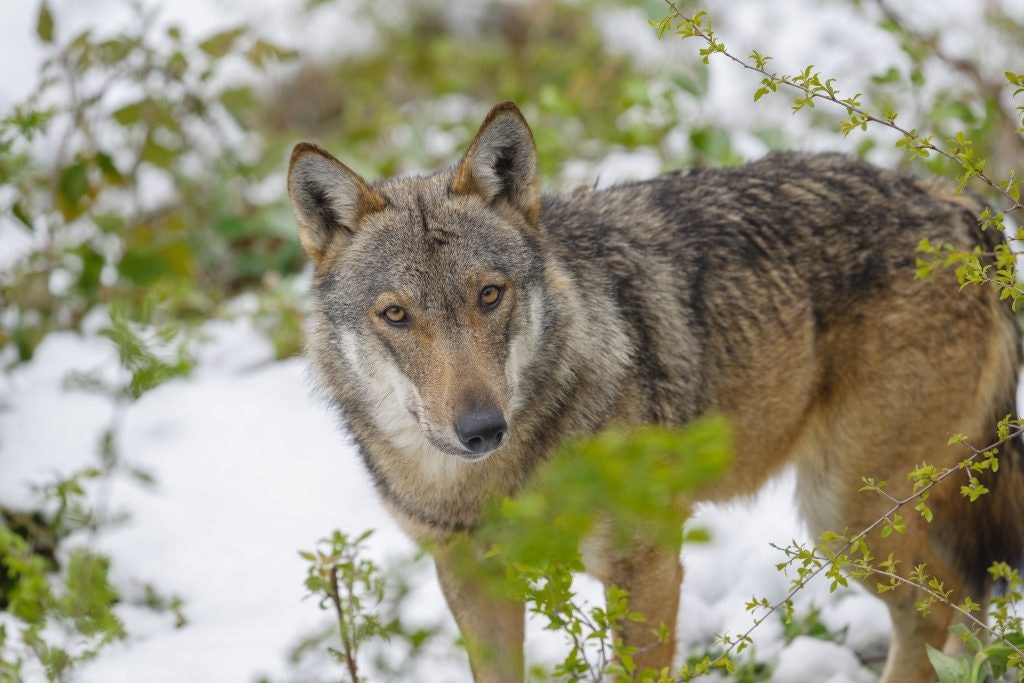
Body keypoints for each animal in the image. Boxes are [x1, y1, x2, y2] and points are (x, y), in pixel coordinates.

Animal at [286, 101, 1024, 683]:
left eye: (489, 295)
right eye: (396, 315)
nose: (481, 428)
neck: (490, 484)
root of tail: (959, 204)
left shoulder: (645, 566)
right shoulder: (474, 577)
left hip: (843, 516)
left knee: (941, 609)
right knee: (966, 606)